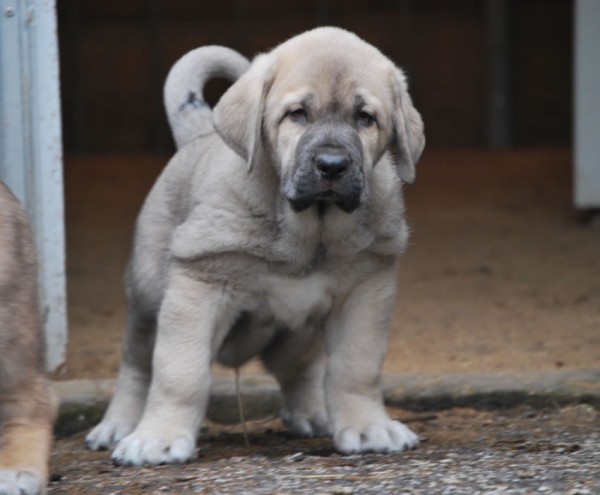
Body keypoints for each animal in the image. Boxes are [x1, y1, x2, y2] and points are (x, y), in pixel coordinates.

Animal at [86, 27, 426, 464]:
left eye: (365, 118)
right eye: (297, 114)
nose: (332, 165)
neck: (309, 230)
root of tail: (200, 134)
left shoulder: (366, 290)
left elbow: (356, 368)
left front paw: (368, 427)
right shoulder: (200, 285)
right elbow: (180, 372)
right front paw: (158, 437)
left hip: (298, 335)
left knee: (301, 367)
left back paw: (313, 412)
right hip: (147, 299)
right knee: (137, 364)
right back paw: (119, 425)